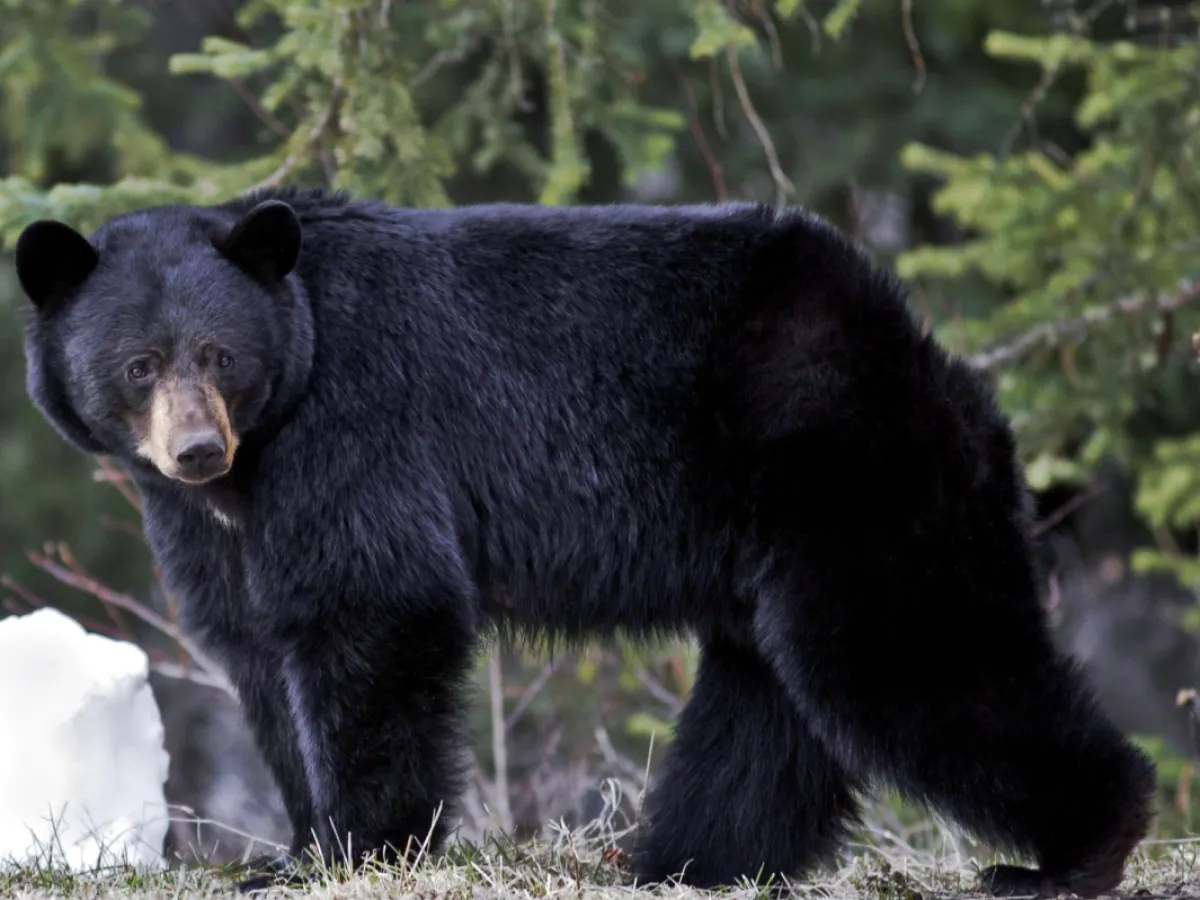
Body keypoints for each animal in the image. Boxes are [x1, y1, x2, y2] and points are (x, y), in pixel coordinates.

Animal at [9, 187, 1152, 897]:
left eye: (219, 354)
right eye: (139, 363)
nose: (197, 448)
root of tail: (931, 359)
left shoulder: (358, 431)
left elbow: (375, 604)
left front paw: (355, 846)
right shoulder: (212, 524)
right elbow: (253, 640)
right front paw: (295, 842)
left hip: (853, 483)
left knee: (915, 655)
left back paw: (1070, 854)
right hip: (774, 539)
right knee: (767, 707)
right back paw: (689, 861)